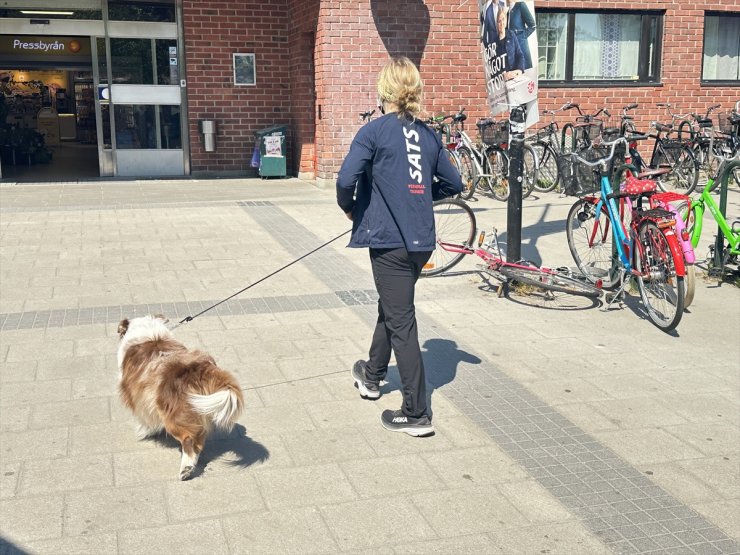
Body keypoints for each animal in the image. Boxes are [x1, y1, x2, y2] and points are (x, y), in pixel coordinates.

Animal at [115, 314, 243, 480]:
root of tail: (198, 369)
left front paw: (146, 430)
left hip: (173, 414)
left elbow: (144, 415)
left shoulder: (136, 393)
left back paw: (186, 469)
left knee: (189, 439)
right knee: (198, 441)